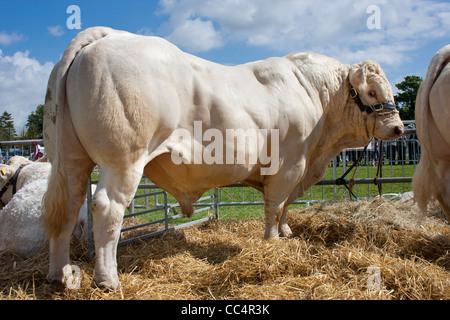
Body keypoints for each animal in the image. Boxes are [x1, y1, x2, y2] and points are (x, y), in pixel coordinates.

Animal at [44, 26, 404, 288]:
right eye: (372, 91)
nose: (399, 127)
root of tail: (107, 34)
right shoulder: (291, 162)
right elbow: (275, 206)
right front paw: (272, 242)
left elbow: (286, 205)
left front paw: (286, 233)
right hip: (123, 160)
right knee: (106, 208)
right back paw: (107, 280)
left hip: (69, 159)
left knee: (67, 207)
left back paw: (60, 274)